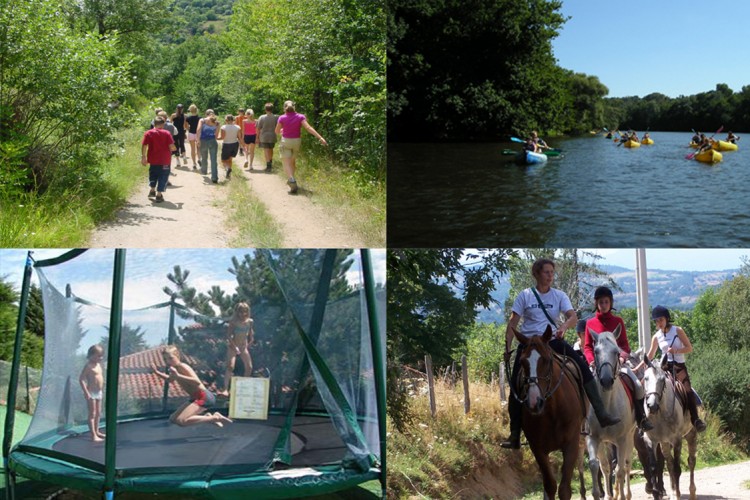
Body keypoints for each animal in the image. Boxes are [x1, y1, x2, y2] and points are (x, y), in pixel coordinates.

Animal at [516, 326, 592, 498]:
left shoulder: (571, 444)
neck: (552, 410)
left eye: (545, 360)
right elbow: (550, 485)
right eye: (522, 361)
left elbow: (564, 489)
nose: (534, 402)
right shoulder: (537, 448)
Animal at [588, 326, 640, 498]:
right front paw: (601, 495)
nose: (606, 381)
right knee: (608, 466)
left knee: (626, 465)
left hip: (629, 436)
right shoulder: (592, 438)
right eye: (596, 351)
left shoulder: (622, 440)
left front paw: (621, 495)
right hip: (606, 442)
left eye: (617, 352)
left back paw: (627, 494)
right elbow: (597, 466)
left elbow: (620, 471)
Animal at [640, 360, 700, 500]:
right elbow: (654, 467)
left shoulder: (677, 440)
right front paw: (656, 493)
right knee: (669, 463)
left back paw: (691, 492)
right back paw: (673, 492)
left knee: (691, 461)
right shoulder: (650, 440)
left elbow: (678, 469)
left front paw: (677, 494)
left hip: (691, 435)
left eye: (662, 380)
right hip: (664, 443)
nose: (652, 405)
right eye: (646, 378)